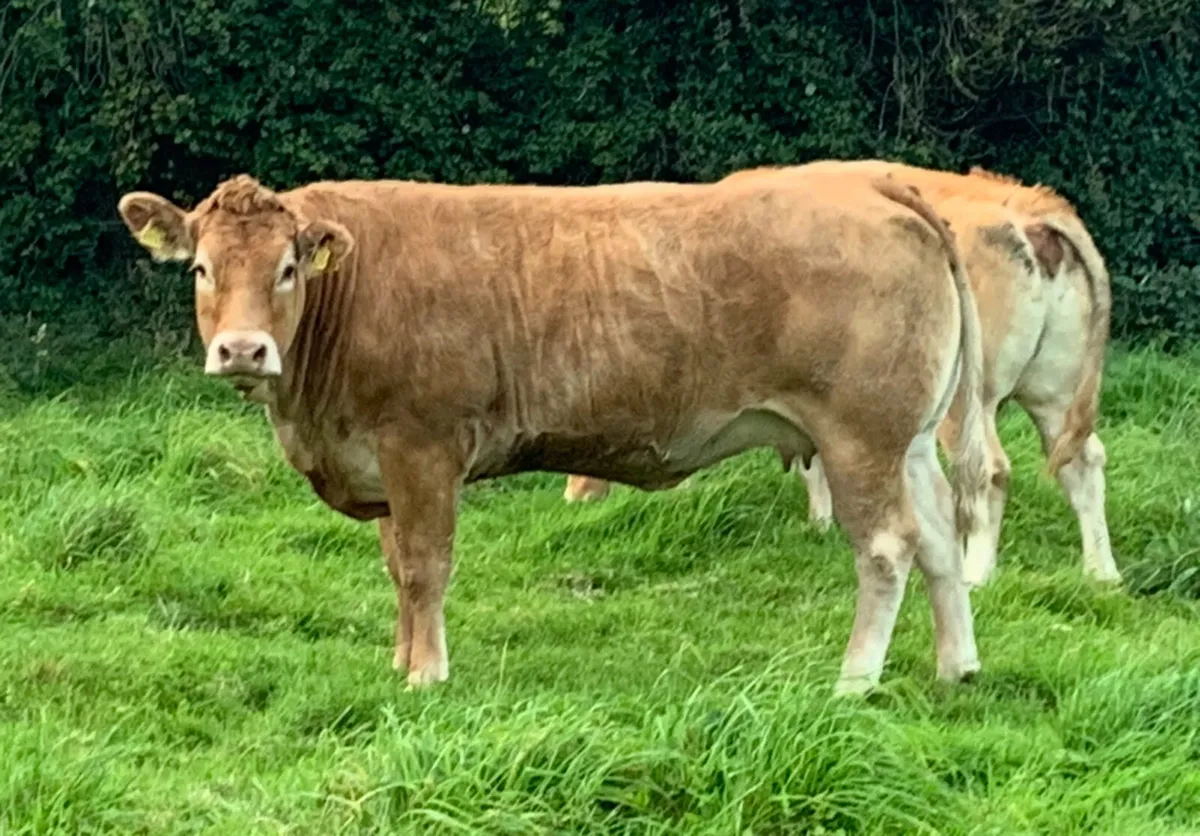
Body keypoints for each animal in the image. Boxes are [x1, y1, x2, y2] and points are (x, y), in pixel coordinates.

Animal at [117, 169, 989, 695]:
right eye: (201, 268)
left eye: (287, 269)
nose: (242, 350)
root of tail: (870, 180)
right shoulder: (381, 463)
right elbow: (398, 569)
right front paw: (401, 659)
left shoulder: (420, 447)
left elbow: (427, 567)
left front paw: (427, 674)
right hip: (907, 442)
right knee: (941, 541)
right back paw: (957, 666)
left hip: (859, 438)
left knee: (887, 550)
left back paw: (854, 680)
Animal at [565, 160, 1117, 588]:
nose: (573, 496)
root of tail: (1027, 207)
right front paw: (821, 525)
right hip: (1054, 391)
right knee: (1081, 462)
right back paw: (1101, 573)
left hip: (967, 399)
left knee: (989, 470)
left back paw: (976, 574)